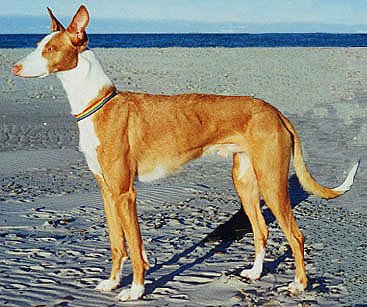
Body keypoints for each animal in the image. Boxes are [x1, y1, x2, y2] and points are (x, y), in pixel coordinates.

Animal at [11, 5, 360, 304]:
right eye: (38, 45)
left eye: (50, 49)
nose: (14, 67)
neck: (99, 104)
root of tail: (275, 111)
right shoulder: (107, 190)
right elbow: (116, 243)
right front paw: (111, 283)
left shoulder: (125, 193)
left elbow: (134, 245)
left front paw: (136, 290)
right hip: (245, 182)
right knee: (261, 230)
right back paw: (255, 273)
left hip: (272, 183)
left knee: (296, 236)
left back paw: (299, 285)